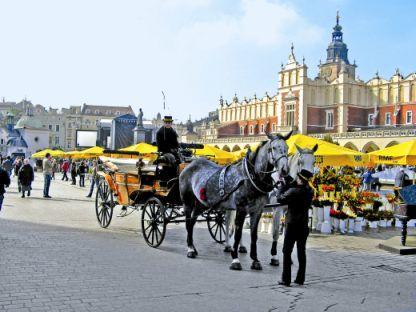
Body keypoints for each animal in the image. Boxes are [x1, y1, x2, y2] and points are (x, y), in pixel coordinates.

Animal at [179, 132, 292, 270]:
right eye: (273, 148)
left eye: (287, 147)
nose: (285, 170)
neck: (250, 176)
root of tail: (190, 164)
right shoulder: (241, 208)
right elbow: (237, 234)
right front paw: (235, 259)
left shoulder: (257, 210)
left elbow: (254, 235)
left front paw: (255, 260)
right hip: (187, 202)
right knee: (188, 223)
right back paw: (190, 249)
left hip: (201, 203)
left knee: (192, 222)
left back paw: (193, 248)